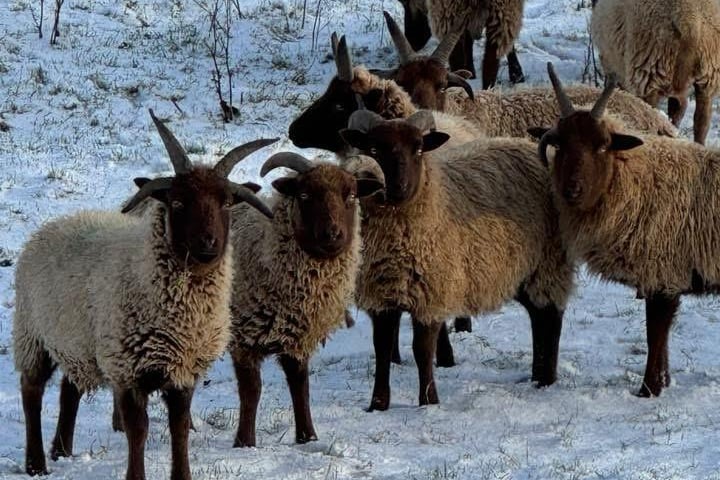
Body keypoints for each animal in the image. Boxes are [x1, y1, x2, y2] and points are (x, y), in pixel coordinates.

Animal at [12, 109, 275, 479]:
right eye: (178, 202)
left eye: (225, 202)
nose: (209, 244)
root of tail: (55, 223)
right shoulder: (127, 369)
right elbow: (138, 430)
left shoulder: (183, 368)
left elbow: (179, 428)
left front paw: (182, 475)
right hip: (32, 334)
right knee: (31, 392)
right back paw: (36, 463)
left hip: (78, 341)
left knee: (68, 391)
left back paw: (61, 450)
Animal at [228, 152, 384, 447]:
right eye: (304, 195)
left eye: (351, 195)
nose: (333, 235)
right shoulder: (244, 335)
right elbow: (251, 391)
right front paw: (244, 443)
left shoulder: (297, 336)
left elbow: (300, 386)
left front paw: (308, 437)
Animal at [339, 109, 573, 410]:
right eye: (374, 149)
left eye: (418, 148)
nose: (399, 187)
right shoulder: (382, 297)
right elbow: (381, 349)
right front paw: (378, 405)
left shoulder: (431, 294)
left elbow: (422, 350)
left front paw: (429, 402)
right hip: (522, 270)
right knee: (537, 314)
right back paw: (536, 375)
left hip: (549, 261)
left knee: (552, 316)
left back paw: (547, 380)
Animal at [533, 62, 720, 397]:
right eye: (560, 144)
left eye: (602, 146)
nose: (572, 190)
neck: (640, 182)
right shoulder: (662, 276)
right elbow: (662, 338)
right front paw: (665, 381)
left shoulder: (663, 273)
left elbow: (655, 335)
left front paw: (649, 390)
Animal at [591, 0, 720, 144]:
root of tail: (690, 18)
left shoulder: (613, 67)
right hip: (709, 77)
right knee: (701, 121)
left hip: (649, 69)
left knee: (652, 115)